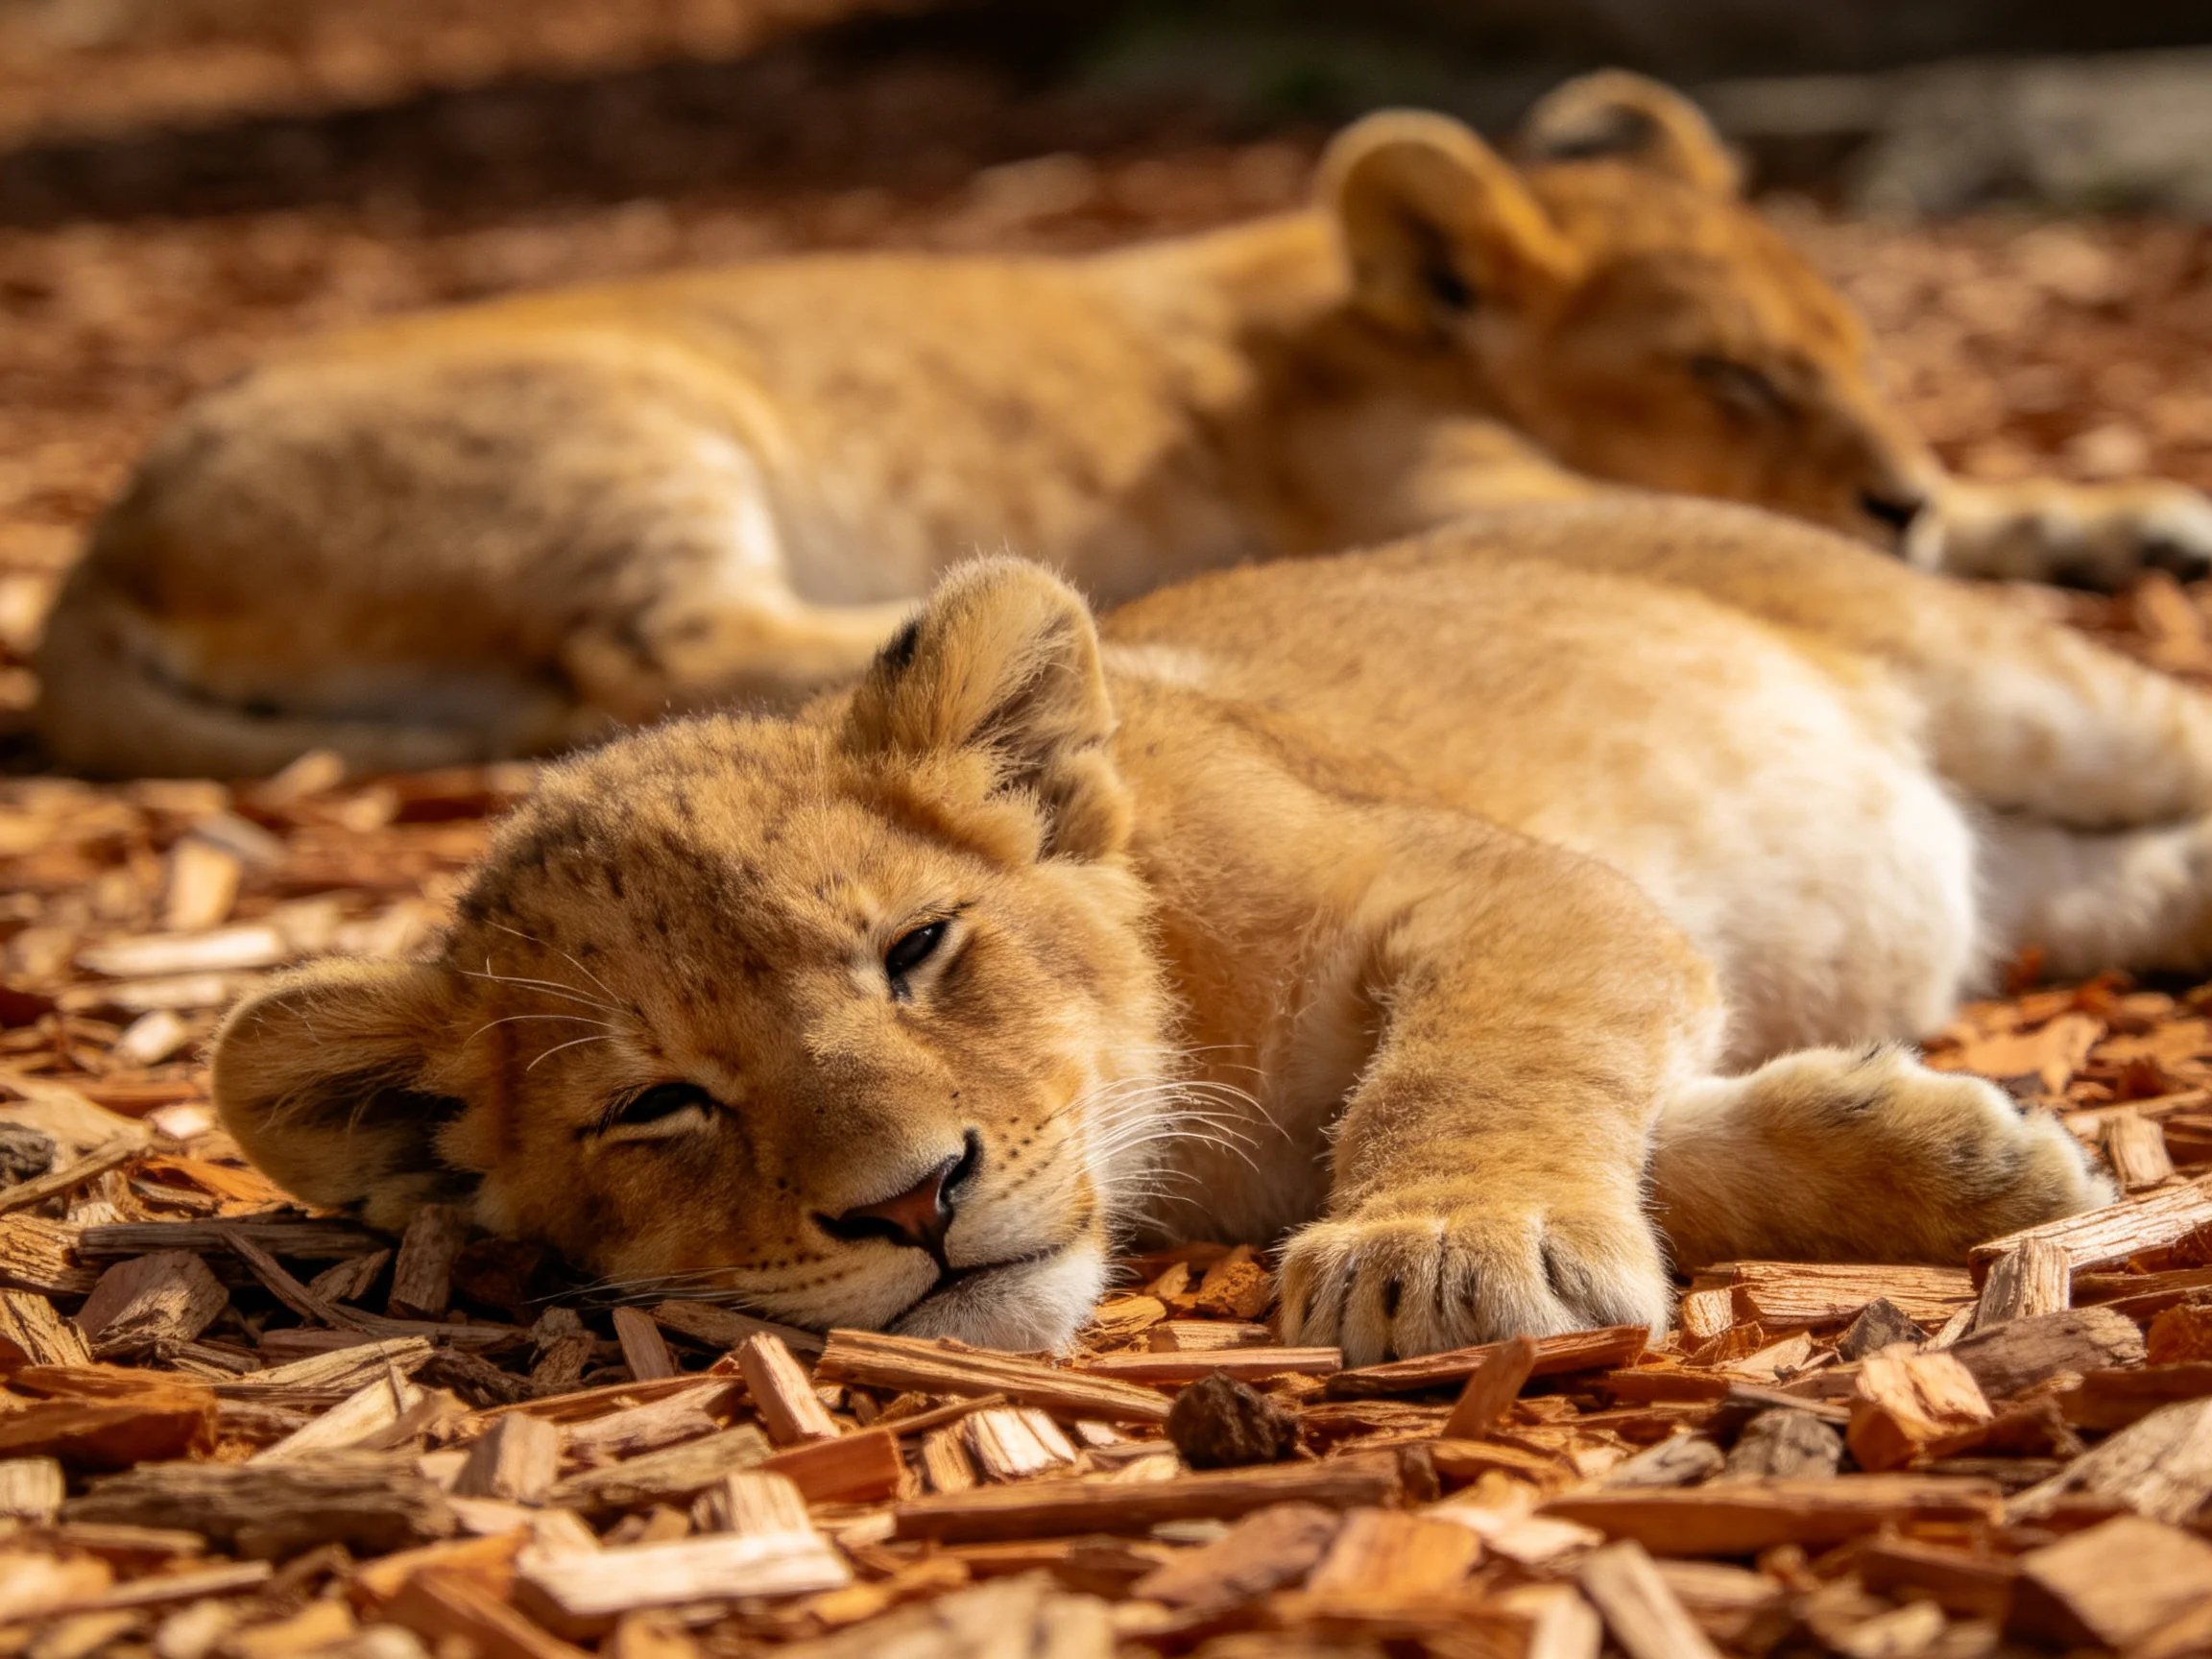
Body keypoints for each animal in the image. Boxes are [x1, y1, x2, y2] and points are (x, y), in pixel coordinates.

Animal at [38, 73, 2212, 780]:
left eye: (1854, 342)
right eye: (1732, 376)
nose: (1894, 491)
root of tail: (97, 540)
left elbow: (1982, 506)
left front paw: (2112, 513)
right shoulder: (1436, 475)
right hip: (625, 425)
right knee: (653, 645)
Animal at [210, 494, 2203, 1363]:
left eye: (917, 949)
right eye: (655, 1106)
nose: (908, 1202)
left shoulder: (1508, 885)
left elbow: (1483, 1054)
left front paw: (1438, 1251)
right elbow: (1667, 1139)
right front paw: (1958, 1153)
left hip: (2013, 681)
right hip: (2010, 868)